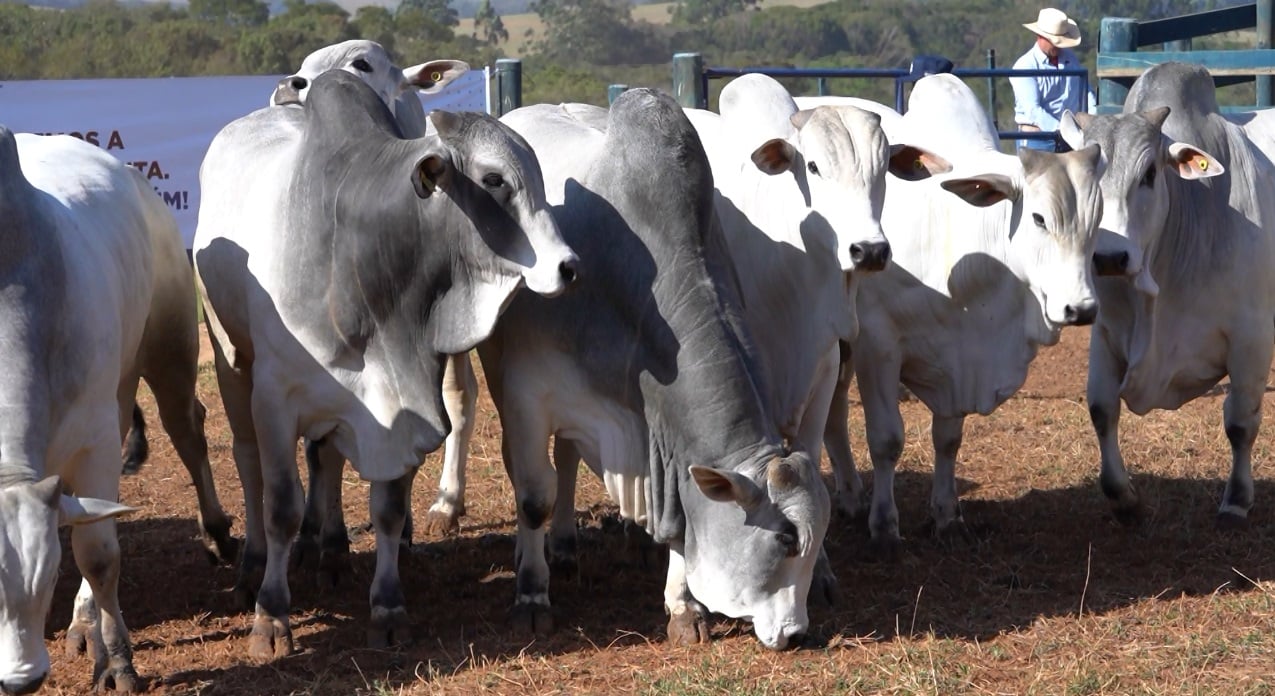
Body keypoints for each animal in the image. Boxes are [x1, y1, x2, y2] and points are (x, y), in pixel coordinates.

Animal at [0, 127, 226, 688]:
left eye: (43, 580)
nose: (21, 680)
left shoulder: (96, 439)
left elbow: (98, 556)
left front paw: (119, 660)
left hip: (168, 351)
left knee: (187, 430)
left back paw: (216, 532)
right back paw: (83, 623)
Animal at [193, 70, 578, 657]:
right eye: (493, 179)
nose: (568, 266)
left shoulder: (403, 401)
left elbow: (389, 510)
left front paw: (388, 606)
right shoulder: (276, 399)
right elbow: (281, 507)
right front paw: (271, 616)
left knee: (325, 459)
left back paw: (330, 551)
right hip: (231, 360)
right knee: (248, 461)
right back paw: (253, 567)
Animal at [481, 89, 831, 647]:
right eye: (785, 538)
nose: (797, 634)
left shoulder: (663, 436)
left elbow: (681, 518)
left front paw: (684, 606)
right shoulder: (525, 395)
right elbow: (534, 496)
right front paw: (531, 596)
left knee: (567, 460)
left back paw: (567, 544)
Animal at [816, 73, 1106, 545]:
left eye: (1097, 218)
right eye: (1039, 218)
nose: (1080, 308)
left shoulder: (956, 357)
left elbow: (948, 438)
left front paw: (946, 513)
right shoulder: (877, 343)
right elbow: (886, 440)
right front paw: (885, 523)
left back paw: (849, 496)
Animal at [1055, 60, 1275, 525]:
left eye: (1150, 174)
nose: (1109, 256)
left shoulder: (1252, 338)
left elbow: (1240, 421)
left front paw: (1236, 500)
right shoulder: (1105, 334)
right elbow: (1101, 409)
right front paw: (1125, 499)